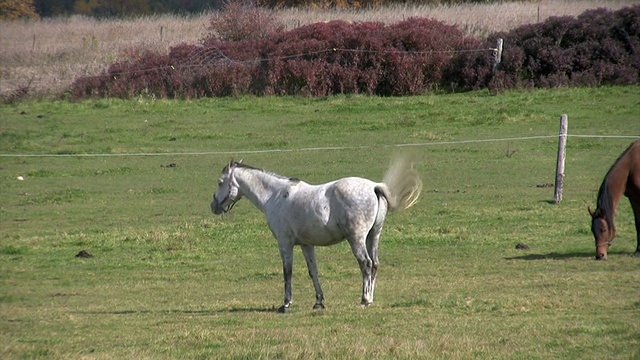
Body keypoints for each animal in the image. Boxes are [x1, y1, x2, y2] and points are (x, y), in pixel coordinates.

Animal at [210, 157, 420, 312]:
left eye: (220, 182)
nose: (214, 206)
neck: (275, 196)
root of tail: (373, 186)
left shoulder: (285, 244)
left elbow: (288, 272)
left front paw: (286, 304)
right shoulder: (306, 244)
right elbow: (313, 272)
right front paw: (319, 302)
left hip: (357, 239)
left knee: (366, 264)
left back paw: (365, 299)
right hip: (373, 236)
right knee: (375, 264)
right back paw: (371, 298)